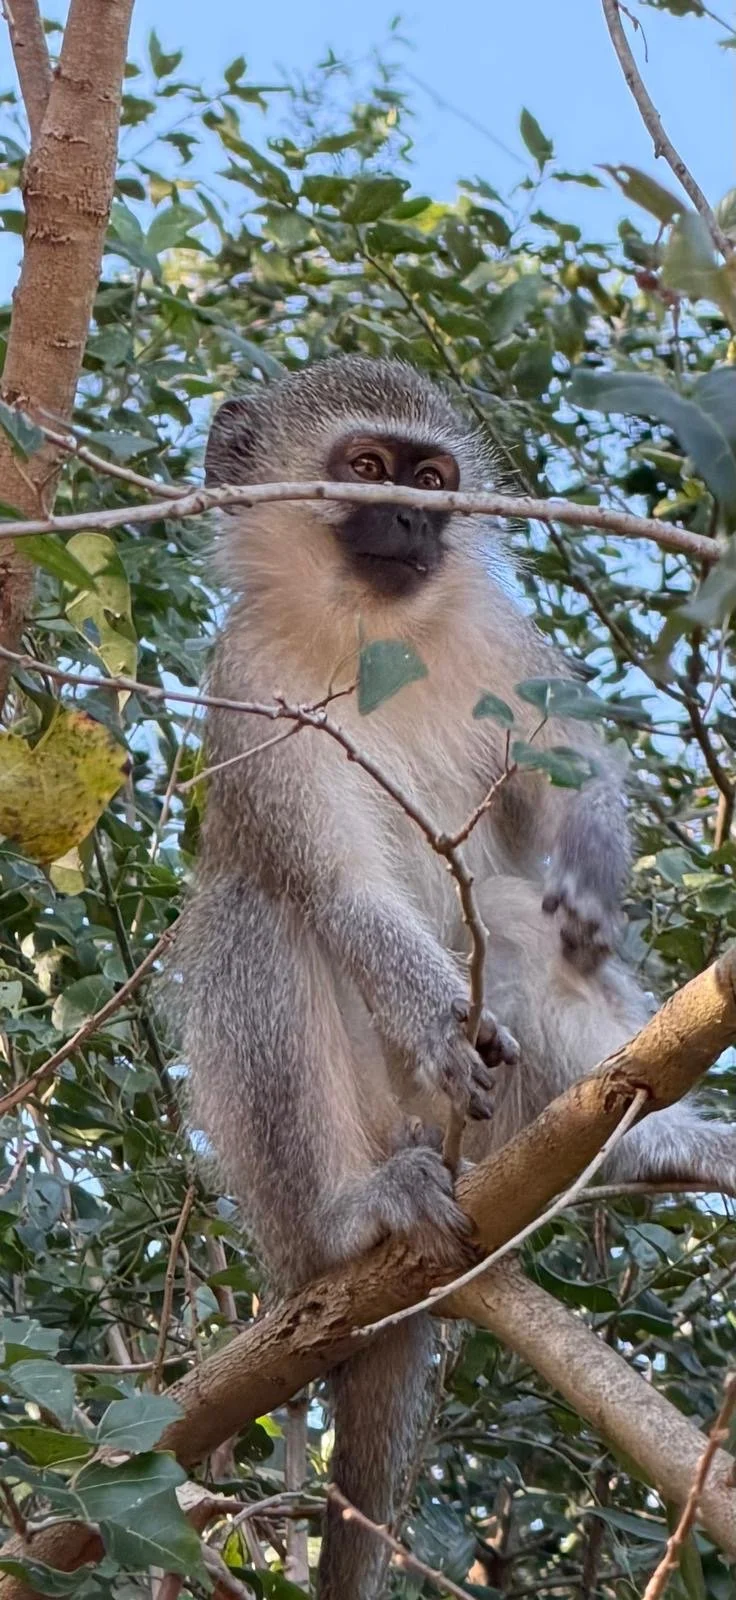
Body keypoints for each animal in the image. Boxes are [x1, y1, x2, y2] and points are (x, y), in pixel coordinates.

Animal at [175, 355, 735, 1598]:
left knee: (522, 929)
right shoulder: (248, 687)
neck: (365, 633)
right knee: (256, 916)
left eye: (433, 480)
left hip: (502, 1126)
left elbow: (575, 772)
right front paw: (438, 1020)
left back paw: (636, 1139)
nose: (412, 523)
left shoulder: (502, 643)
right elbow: (340, 891)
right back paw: (350, 1218)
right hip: (336, 1164)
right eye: (368, 468)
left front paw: (592, 871)